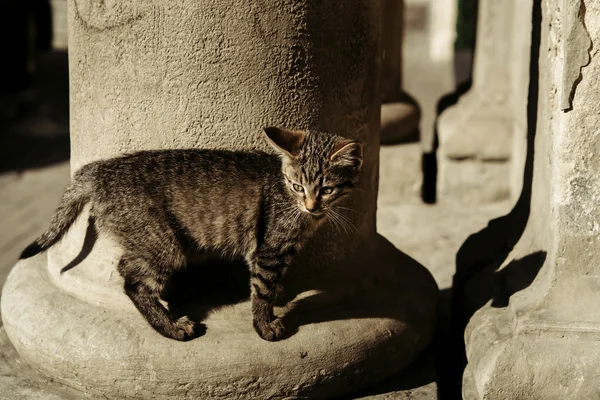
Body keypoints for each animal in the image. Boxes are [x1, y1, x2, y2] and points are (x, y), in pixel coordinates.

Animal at [21, 127, 364, 340]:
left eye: (327, 189)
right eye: (297, 186)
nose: (310, 205)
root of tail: (101, 169)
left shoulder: (276, 252)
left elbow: (269, 286)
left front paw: (275, 300)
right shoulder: (268, 250)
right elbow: (262, 290)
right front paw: (264, 326)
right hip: (163, 244)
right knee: (133, 281)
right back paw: (173, 328)